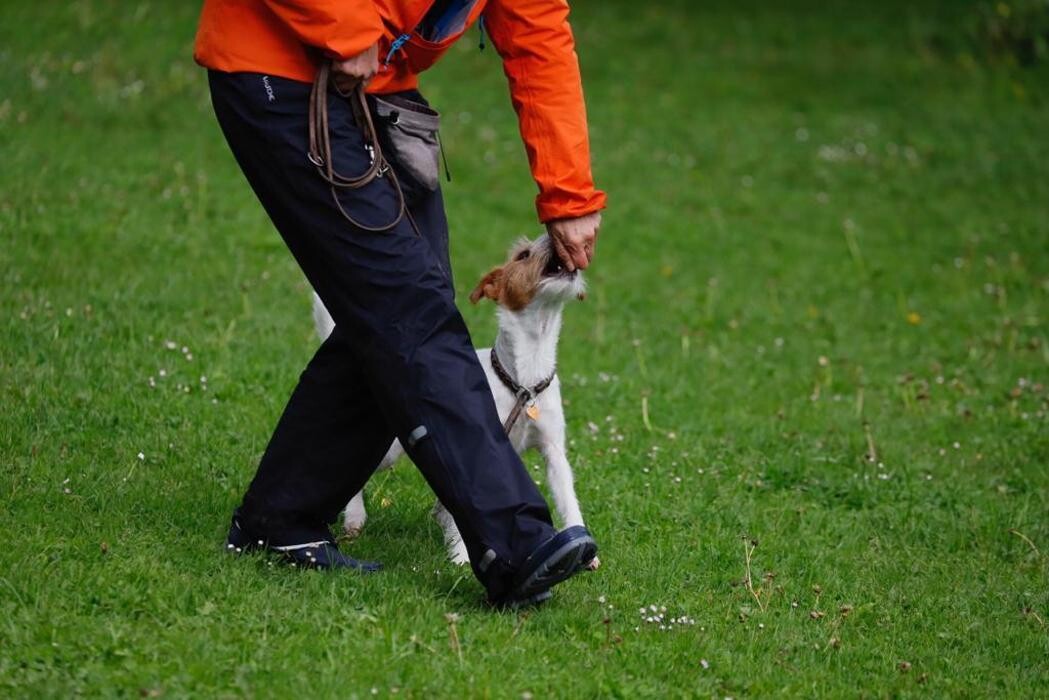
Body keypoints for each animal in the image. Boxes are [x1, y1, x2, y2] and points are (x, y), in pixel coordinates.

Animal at [308, 235, 600, 570]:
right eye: (523, 255)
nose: (553, 237)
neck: (523, 382)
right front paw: (461, 556)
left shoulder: (554, 452)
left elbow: (567, 499)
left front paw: (586, 551)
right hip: (389, 451)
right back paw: (353, 518)